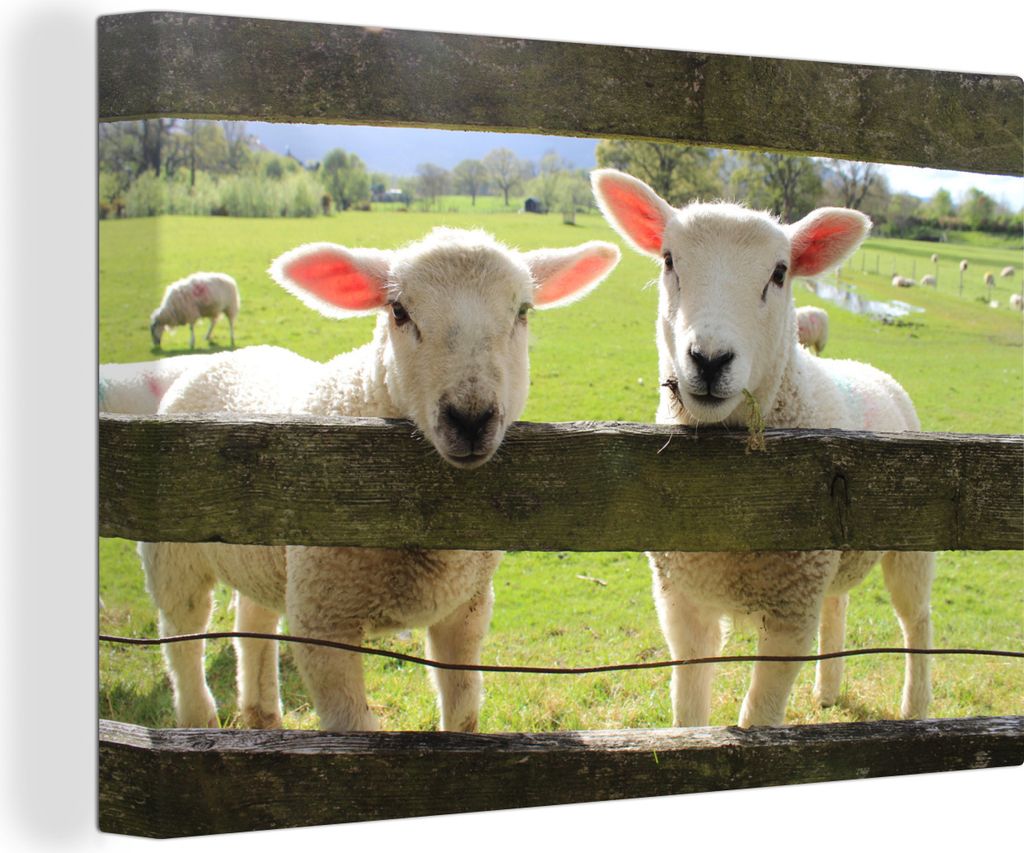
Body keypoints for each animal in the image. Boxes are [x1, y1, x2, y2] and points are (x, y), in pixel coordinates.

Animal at [138, 227, 620, 732]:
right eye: (399, 311)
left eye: (522, 311)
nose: (470, 419)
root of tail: (227, 359)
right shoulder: (322, 621)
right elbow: (356, 730)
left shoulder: (466, 607)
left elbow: (464, 714)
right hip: (173, 554)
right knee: (181, 636)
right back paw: (199, 720)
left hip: (265, 558)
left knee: (253, 622)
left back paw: (263, 716)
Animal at [592, 168, 933, 728]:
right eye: (669, 260)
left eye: (779, 272)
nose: (709, 360)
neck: (737, 493)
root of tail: (870, 371)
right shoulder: (680, 601)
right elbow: (688, 709)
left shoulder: (791, 614)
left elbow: (759, 717)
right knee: (838, 605)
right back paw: (828, 692)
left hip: (913, 544)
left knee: (917, 621)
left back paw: (916, 709)